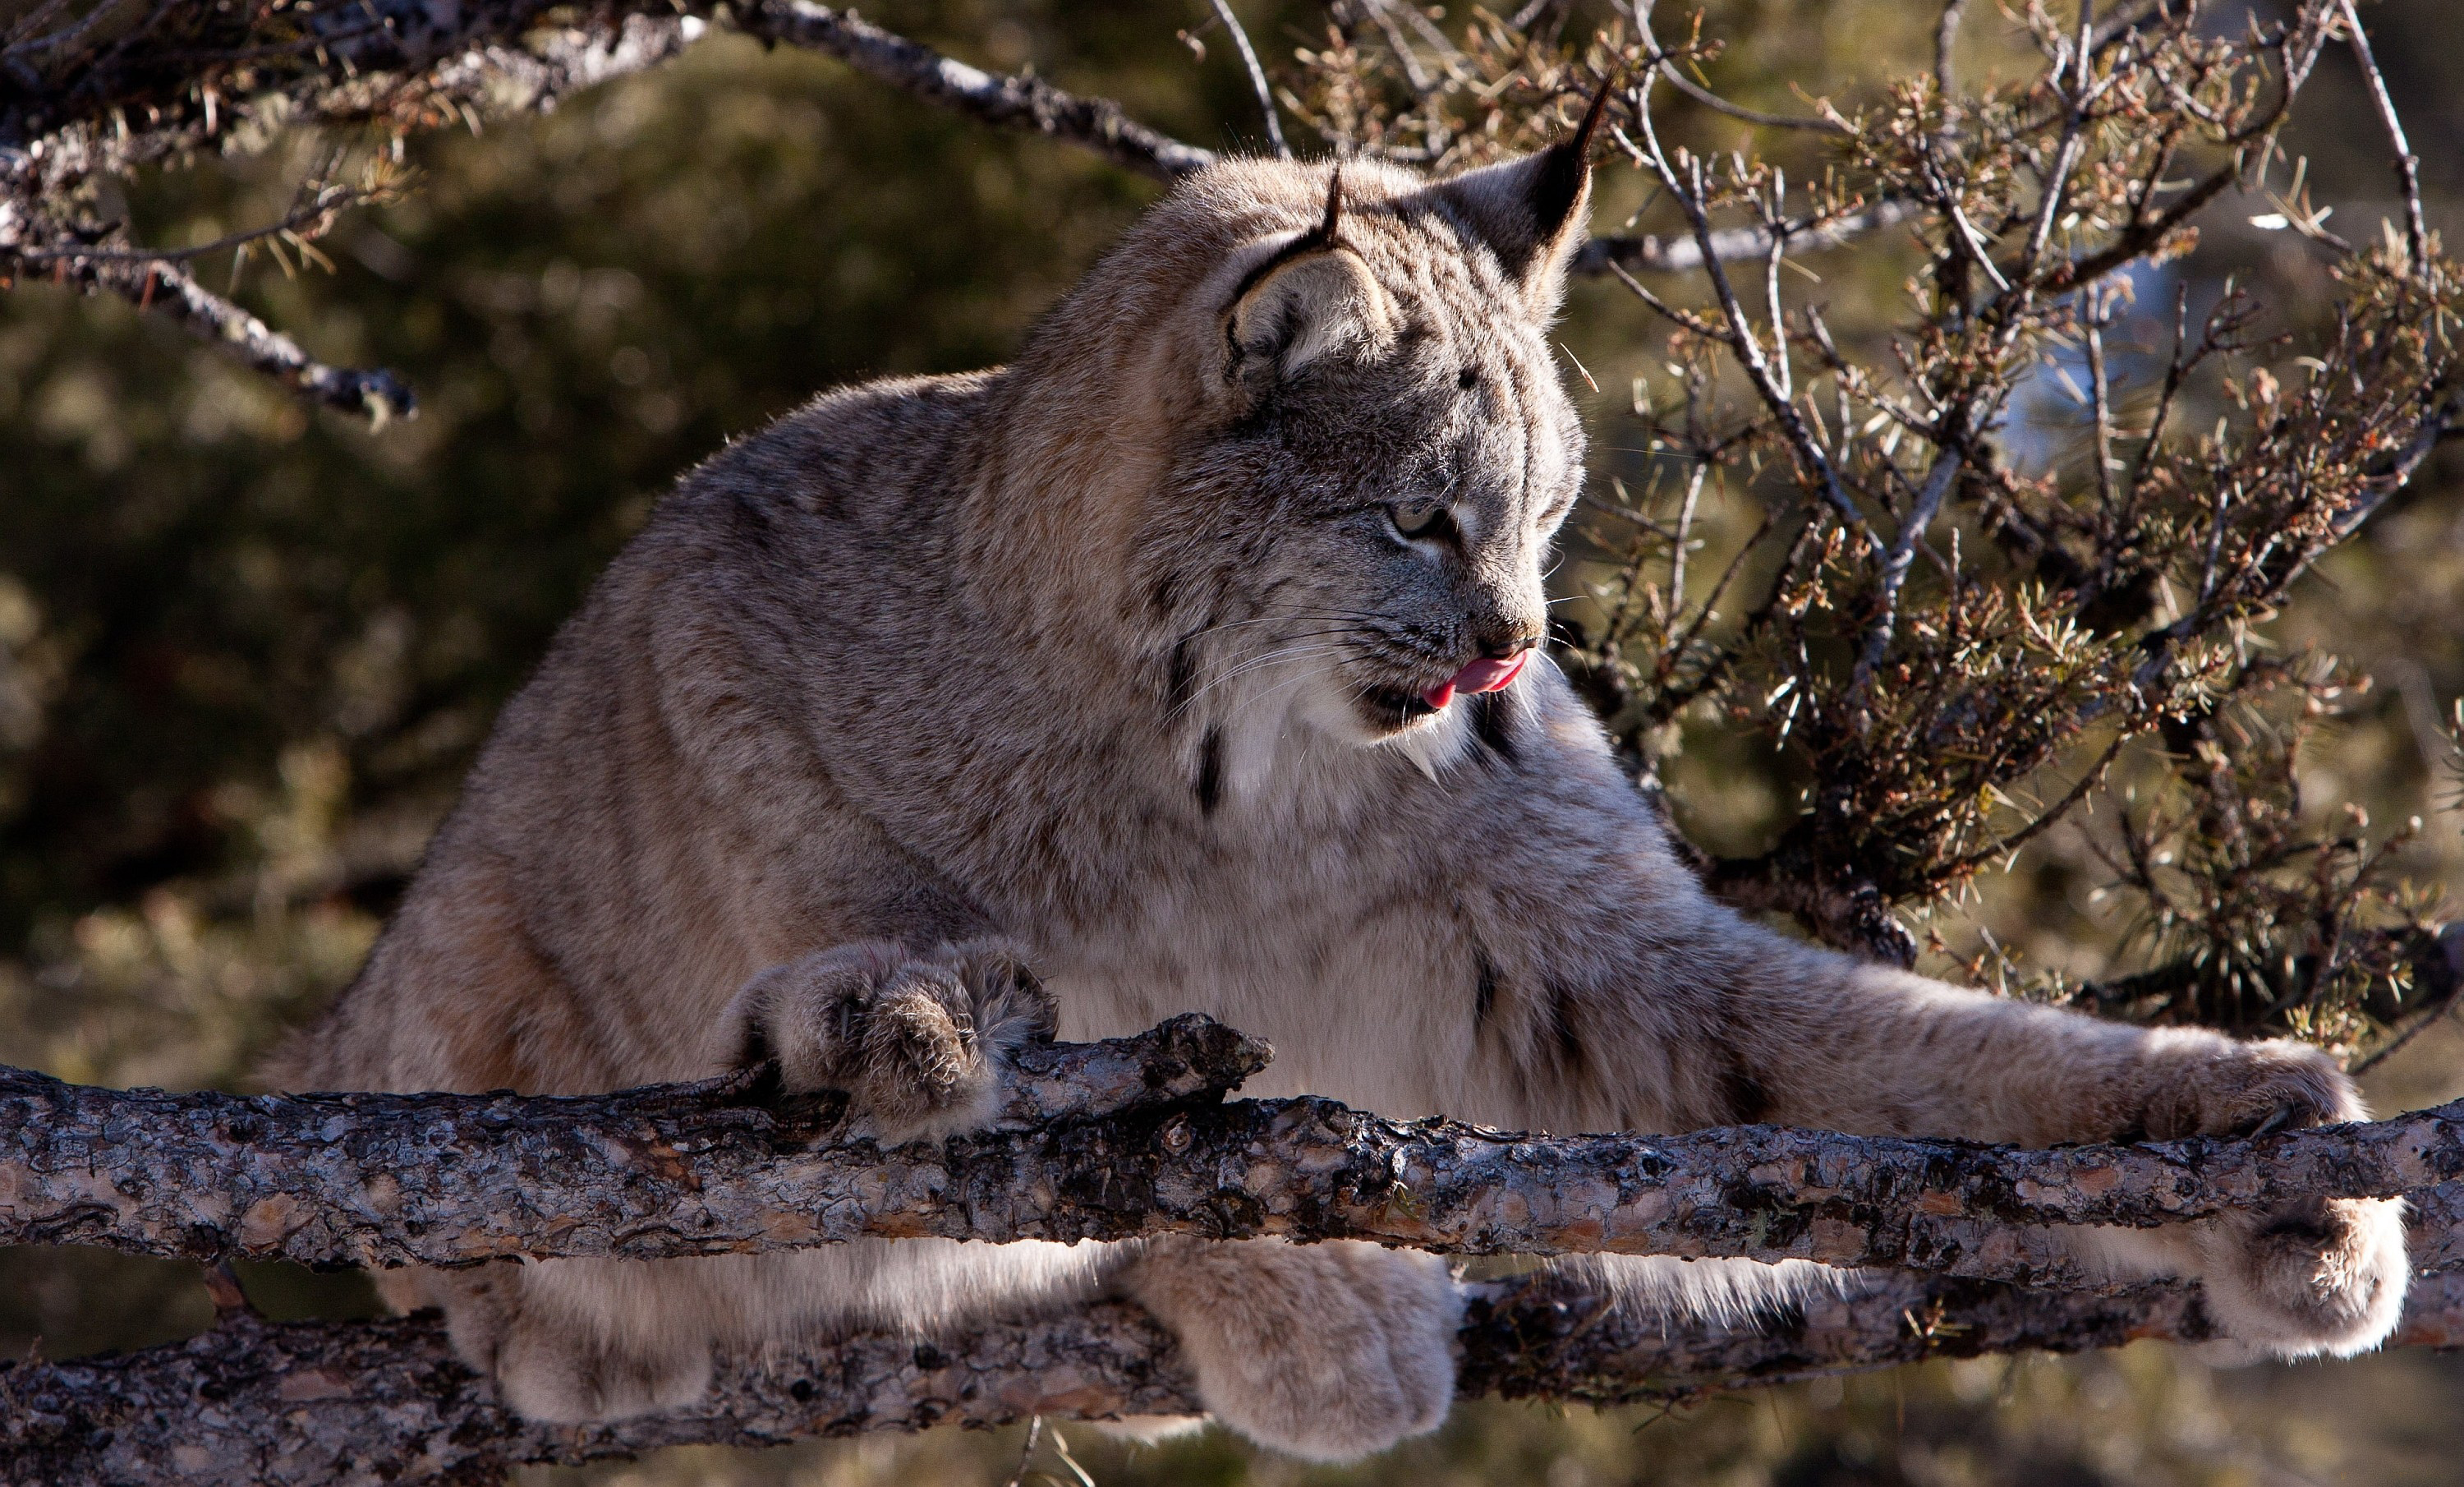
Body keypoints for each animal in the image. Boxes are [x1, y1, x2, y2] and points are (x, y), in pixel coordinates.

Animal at [274, 104, 2405, 1469]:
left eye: (1548, 512)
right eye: (1417, 516)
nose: (1515, 653)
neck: (1241, 780)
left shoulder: (1588, 963)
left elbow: (1886, 1073)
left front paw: (2239, 1131)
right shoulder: (715, 631)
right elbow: (1124, 1129)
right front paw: (1312, 1300)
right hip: (441, 1001)